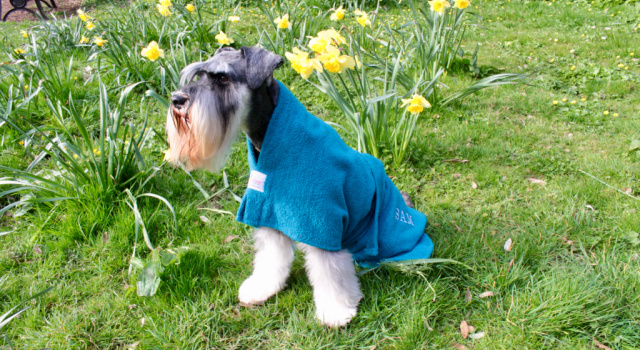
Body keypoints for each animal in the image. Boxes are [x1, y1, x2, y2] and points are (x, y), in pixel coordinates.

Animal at [165, 46, 436, 328]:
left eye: (223, 78)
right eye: (199, 74)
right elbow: (271, 258)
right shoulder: (270, 214)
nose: (177, 99)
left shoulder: (323, 224)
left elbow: (331, 275)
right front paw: (261, 288)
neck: (269, 138)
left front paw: (336, 311)